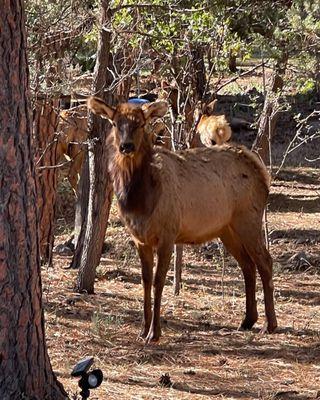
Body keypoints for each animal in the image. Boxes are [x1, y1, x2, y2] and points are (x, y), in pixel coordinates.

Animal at [87, 96, 278, 344]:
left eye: (140, 123)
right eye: (115, 123)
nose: (126, 146)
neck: (140, 200)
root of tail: (261, 170)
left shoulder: (168, 234)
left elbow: (159, 281)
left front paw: (154, 333)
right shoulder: (140, 239)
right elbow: (145, 281)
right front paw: (142, 330)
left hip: (248, 218)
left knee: (265, 261)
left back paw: (269, 324)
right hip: (227, 228)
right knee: (247, 264)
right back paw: (247, 320)